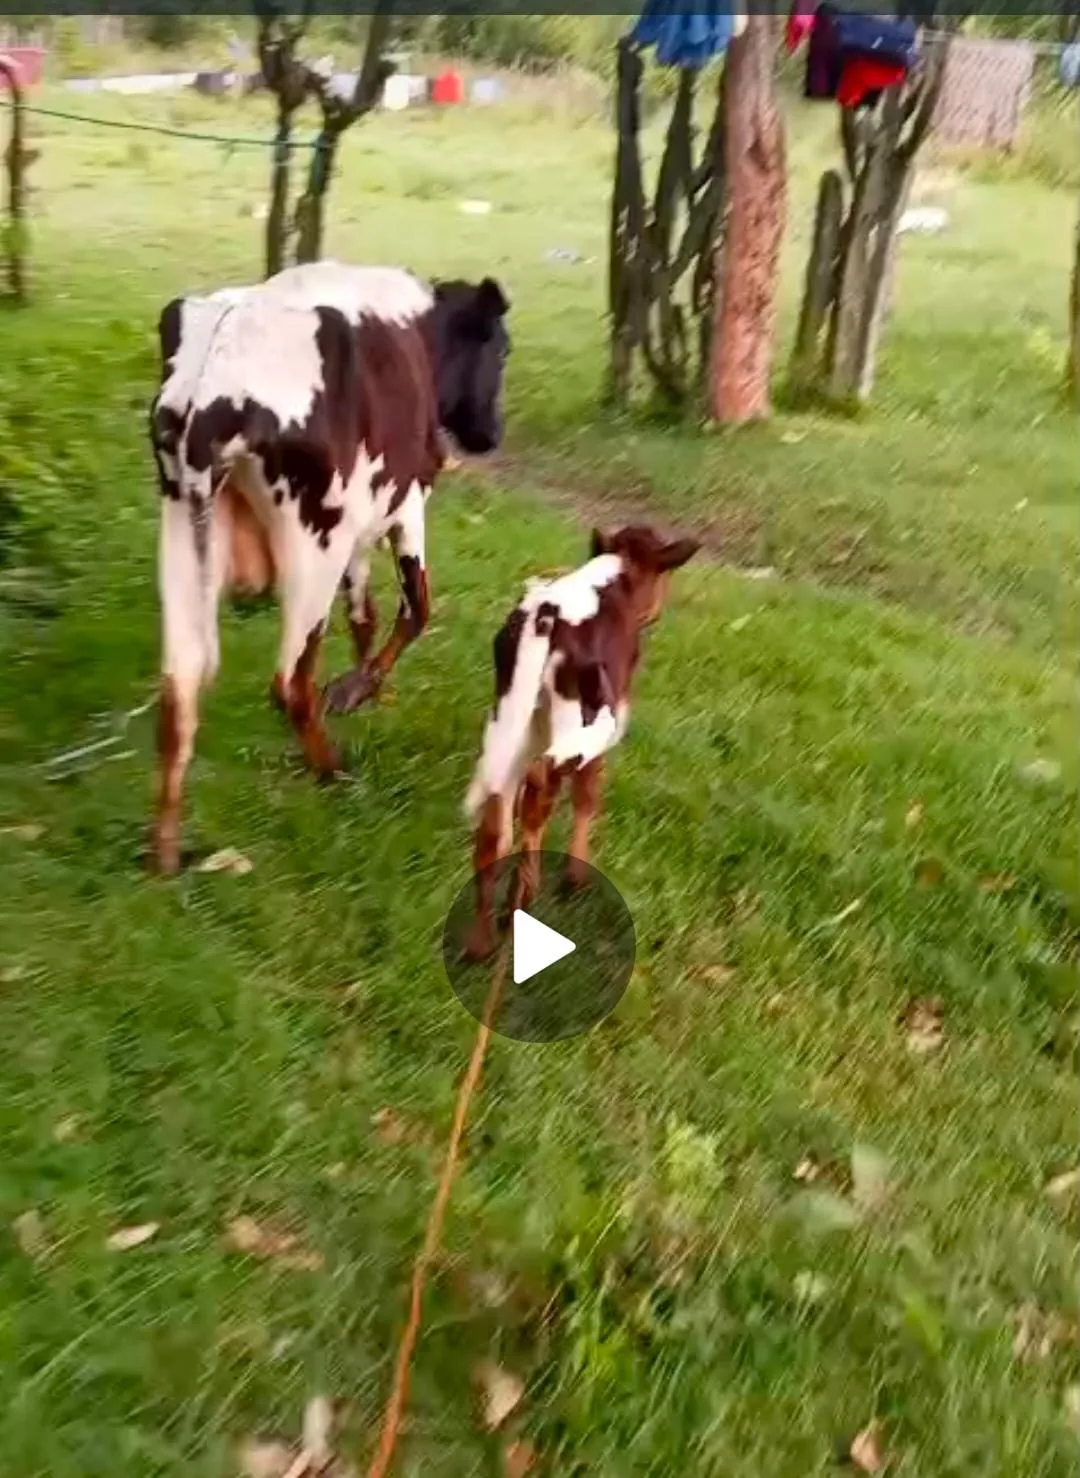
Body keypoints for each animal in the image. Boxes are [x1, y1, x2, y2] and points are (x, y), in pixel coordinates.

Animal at [149, 261, 510, 875]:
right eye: (503, 351)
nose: (492, 433)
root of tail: (216, 382)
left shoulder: (356, 532)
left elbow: (363, 613)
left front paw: (361, 686)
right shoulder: (405, 504)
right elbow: (417, 606)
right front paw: (357, 688)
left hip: (185, 533)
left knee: (181, 692)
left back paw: (165, 853)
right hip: (312, 543)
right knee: (292, 679)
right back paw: (332, 772)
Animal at [462, 524, 699, 959]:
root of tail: (547, 617)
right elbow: (588, 794)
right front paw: (576, 877)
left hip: (508, 718)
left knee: (496, 824)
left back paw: (481, 942)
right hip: (578, 726)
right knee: (542, 794)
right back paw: (524, 899)